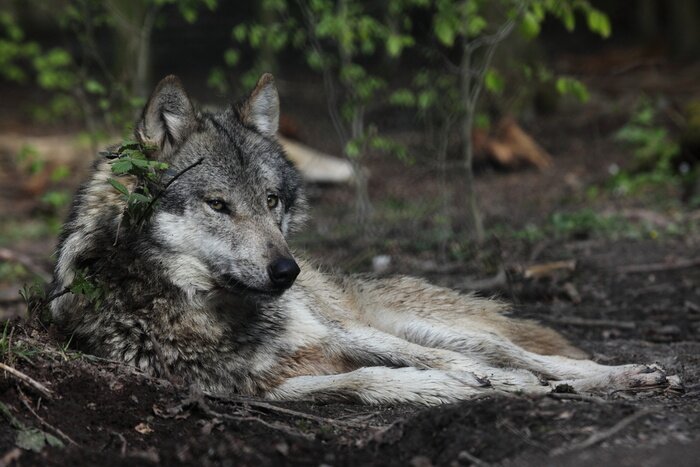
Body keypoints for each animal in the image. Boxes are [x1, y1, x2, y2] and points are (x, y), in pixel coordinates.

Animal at [49, 74, 672, 405]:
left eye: (271, 201)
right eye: (218, 205)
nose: (288, 272)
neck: (205, 311)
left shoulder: (341, 332)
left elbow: (445, 363)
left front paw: (487, 382)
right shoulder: (263, 390)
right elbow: (368, 381)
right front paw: (444, 390)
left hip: (417, 322)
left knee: (528, 355)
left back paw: (627, 374)